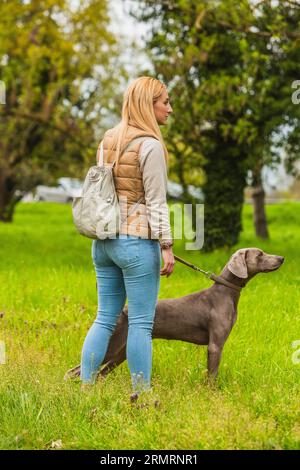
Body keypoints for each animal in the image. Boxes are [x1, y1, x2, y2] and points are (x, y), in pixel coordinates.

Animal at [65, 246, 284, 382]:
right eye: (260, 254)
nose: (281, 258)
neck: (226, 291)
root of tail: (123, 311)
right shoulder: (215, 346)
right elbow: (212, 377)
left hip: (121, 352)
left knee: (100, 374)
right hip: (111, 346)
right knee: (75, 370)